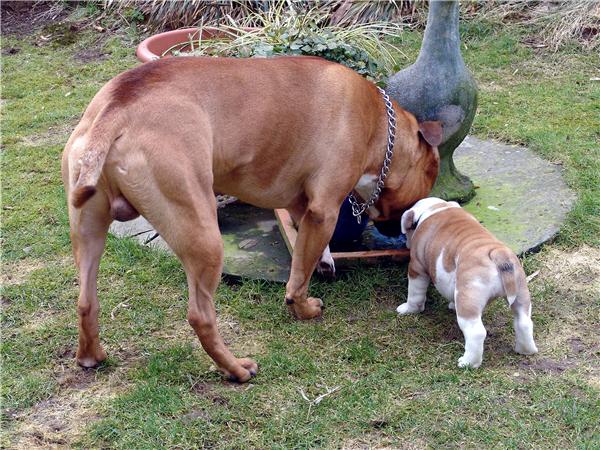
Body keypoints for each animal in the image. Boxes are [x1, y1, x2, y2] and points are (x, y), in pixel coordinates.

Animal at [398, 199, 540, 368]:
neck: (437, 208)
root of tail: (497, 253)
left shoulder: (417, 268)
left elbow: (415, 294)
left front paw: (408, 309)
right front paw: (452, 305)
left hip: (468, 298)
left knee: (476, 332)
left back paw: (468, 363)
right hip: (521, 291)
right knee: (523, 322)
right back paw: (525, 350)